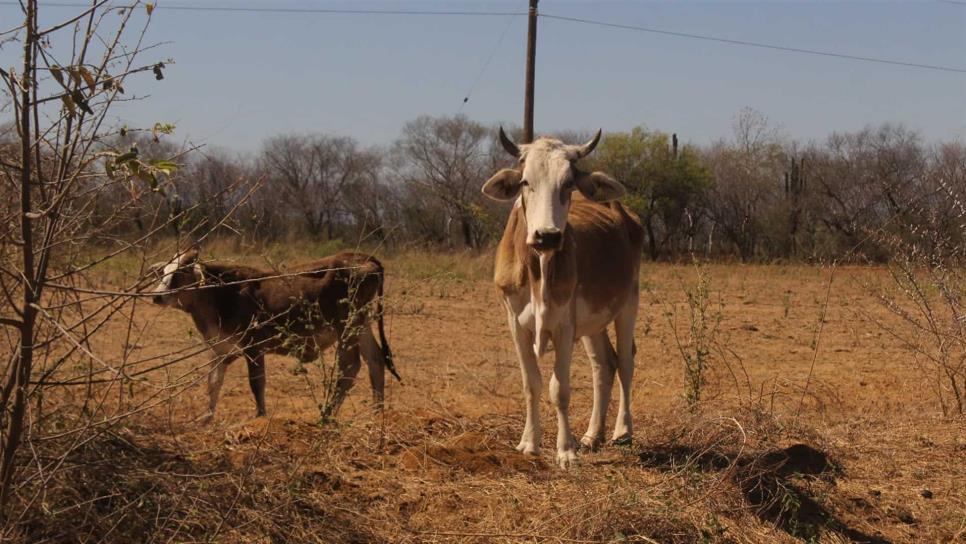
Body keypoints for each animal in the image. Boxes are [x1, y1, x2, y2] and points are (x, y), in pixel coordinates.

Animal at [149, 249, 398, 422]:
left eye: (181, 272)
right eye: (163, 272)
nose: (157, 296)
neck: (222, 293)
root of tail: (364, 257)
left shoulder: (253, 347)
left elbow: (256, 383)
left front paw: (259, 416)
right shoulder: (221, 348)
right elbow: (213, 382)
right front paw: (206, 418)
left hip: (347, 326)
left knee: (349, 367)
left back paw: (327, 415)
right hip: (362, 324)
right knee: (375, 360)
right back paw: (376, 413)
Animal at [482, 127, 644, 468]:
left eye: (568, 183)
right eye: (525, 181)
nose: (548, 236)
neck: (538, 269)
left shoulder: (565, 326)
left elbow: (560, 390)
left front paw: (565, 450)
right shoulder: (515, 323)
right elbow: (531, 383)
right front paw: (529, 443)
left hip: (628, 304)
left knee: (625, 361)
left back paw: (622, 431)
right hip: (594, 321)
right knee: (603, 365)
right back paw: (592, 436)